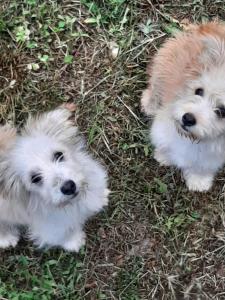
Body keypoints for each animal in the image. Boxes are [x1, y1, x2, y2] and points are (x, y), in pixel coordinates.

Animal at [0, 105, 109, 251]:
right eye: (35, 178)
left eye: (58, 155)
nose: (68, 187)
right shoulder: (53, 228)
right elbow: (64, 235)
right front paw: (74, 242)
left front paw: (102, 197)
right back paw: (7, 238)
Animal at [142, 22, 225, 192]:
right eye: (199, 91)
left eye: (222, 111)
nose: (188, 118)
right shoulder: (163, 128)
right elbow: (166, 144)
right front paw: (164, 156)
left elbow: (203, 166)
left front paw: (199, 180)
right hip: (163, 66)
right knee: (155, 87)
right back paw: (149, 104)